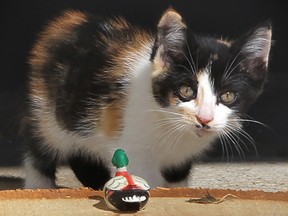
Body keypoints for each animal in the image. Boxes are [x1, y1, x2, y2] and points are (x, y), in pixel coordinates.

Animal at [23, 8, 272, 189]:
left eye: (228, 95)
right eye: (186, 90)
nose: (204, 119)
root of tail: (66, 21)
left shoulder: (179, 162)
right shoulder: (133, 148)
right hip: (48, 113)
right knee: (39, 148)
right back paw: (39, 186)